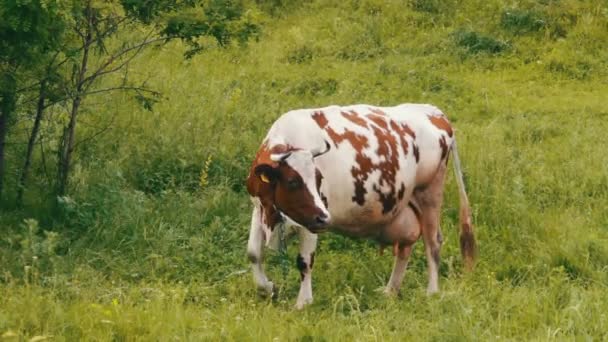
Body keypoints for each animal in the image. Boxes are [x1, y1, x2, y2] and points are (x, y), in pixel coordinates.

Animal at [246, 103, 476, 308]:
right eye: (293, 182)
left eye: (319, 180)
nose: (325, 218)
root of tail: (433, 111)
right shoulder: (260, 209)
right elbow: (253, 253)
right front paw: (267, 289)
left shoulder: (311, 219)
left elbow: (304, 261)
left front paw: (303, 302)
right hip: (405, 206)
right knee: (405, 246)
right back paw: (390, 290)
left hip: (430, 192)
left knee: (433, 241)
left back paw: (432, 292)